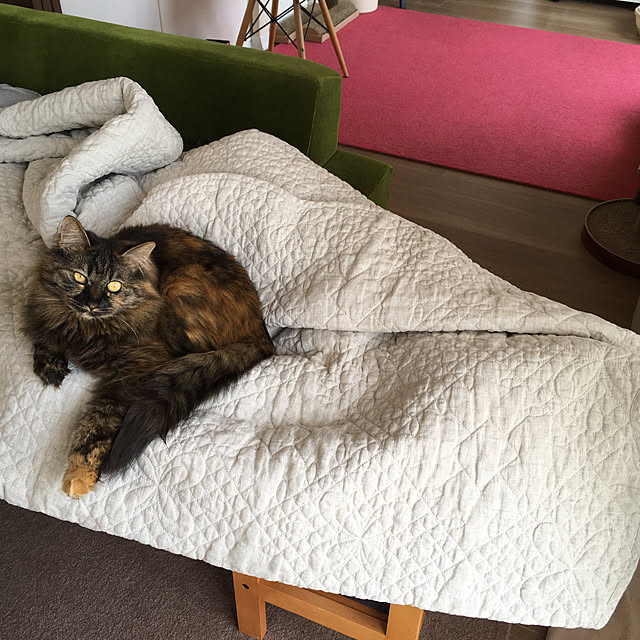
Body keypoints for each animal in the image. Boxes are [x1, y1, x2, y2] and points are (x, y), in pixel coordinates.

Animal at [24, 216, 275, 499]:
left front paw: (79, 474)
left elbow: (98, 424)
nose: (92, 304)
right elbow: (44, 335)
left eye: (114, 286)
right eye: (79, 277)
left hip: (180, 288)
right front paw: (50, 365)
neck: (85, 330)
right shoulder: (43, 311)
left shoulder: (132, 373)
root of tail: (263, 335)